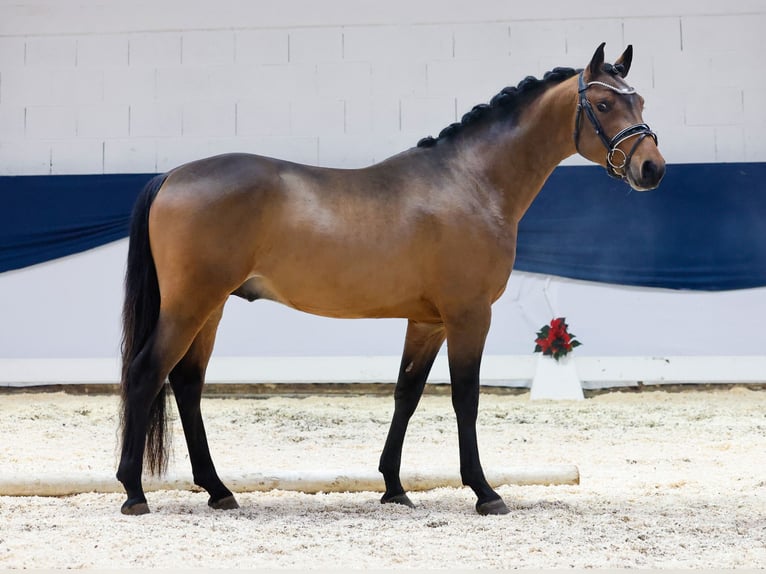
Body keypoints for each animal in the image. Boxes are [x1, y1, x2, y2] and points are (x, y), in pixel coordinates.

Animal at [118, 44, 664, 516]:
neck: (470, 183)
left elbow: (407, 395)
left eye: (639, 100)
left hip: (210, 308)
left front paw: (394, 487)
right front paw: (485, 492)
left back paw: (218, 490)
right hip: (190, 305)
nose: (652, 168)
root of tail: (170, 177)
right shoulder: (469, 316)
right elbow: (465, 398)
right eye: (603, 103)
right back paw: (133, 492)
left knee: (187, 383)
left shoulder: (428, 322)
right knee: (146, 373)